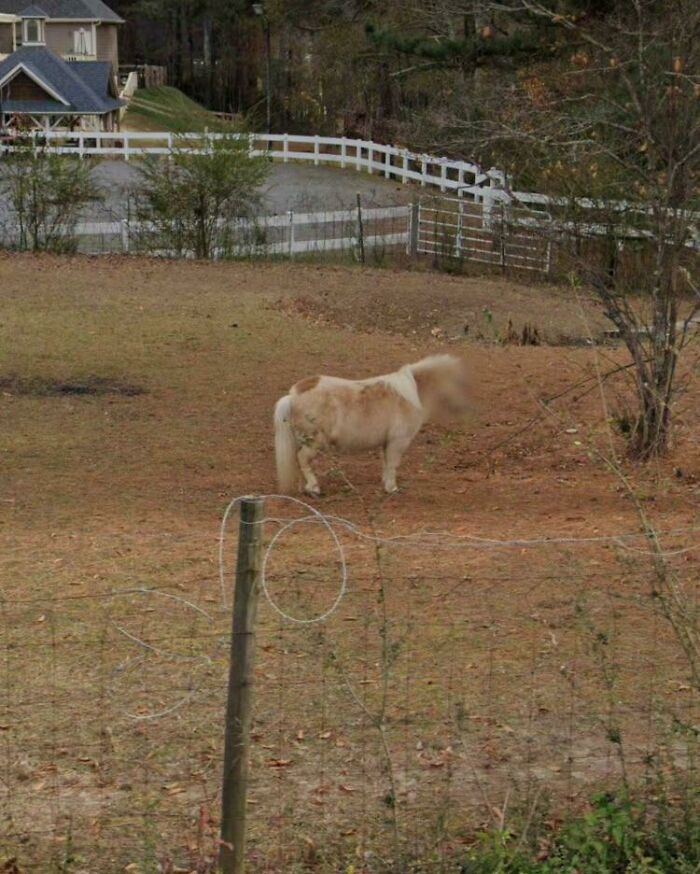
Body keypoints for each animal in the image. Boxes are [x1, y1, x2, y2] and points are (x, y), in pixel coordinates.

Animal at [273, 354, 470, 495]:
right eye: (458, 383)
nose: (463, 408)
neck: (410, 393)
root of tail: (293, 396)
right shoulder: (397, 442)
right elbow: (392, 464)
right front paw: (392, 489)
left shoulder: (387, 442)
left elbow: (386, 464)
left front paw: (386, 484)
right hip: (314, 442)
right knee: (303, 459)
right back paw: (314, 488)